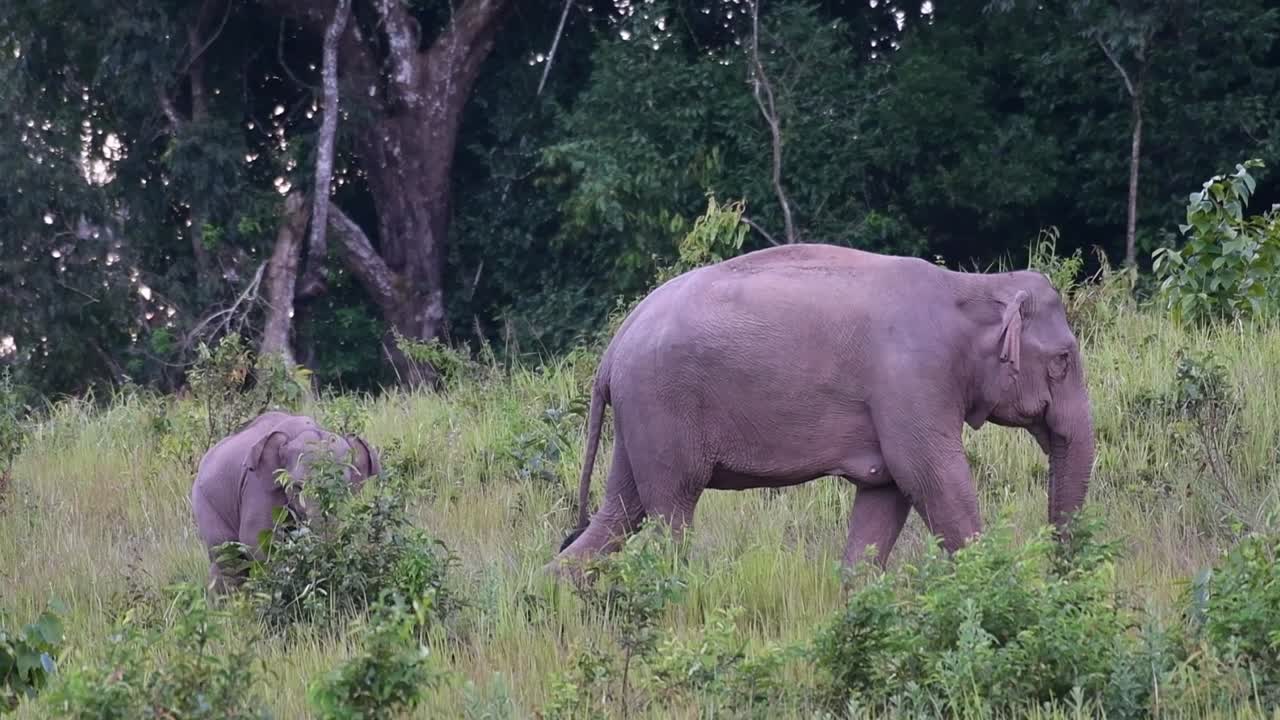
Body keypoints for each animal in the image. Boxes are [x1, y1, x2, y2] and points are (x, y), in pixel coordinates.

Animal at [190, 410, 381, 591]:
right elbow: (255, 540)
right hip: (205, 504)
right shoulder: (258, 487)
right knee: (228, 561)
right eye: (298, 487)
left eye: (344, 488)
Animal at [546, 243, 1096, 576]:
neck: (972, 286)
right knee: (669, 514)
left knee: (620, 511)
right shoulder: (911, 381)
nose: (1057, 569)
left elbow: (885, 493)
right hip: (661, 404)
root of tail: (613, 348)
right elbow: (931, 478)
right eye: (1063, 360)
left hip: (639, 414)